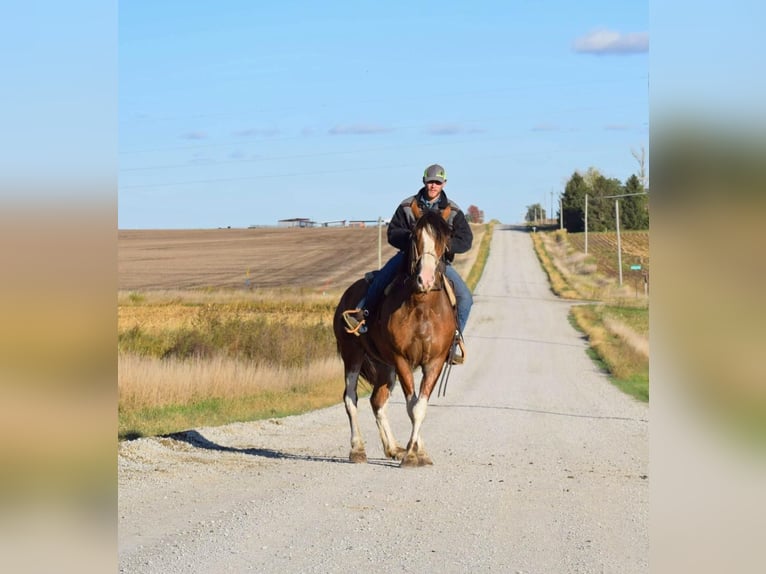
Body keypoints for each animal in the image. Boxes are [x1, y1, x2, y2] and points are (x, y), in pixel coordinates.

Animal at [332, 210, 460, 468]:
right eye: (414, 237)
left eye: (444, 239)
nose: (425, 279)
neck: (422, 307)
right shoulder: (402, 359)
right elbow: (412, 406)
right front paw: (413, 455)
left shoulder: (435, 361)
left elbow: (420, 405)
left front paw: (418, 452)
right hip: (353, 355)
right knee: (350, 398)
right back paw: (357, 449)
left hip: (384, 366)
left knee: (377, 401)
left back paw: (393, 448)